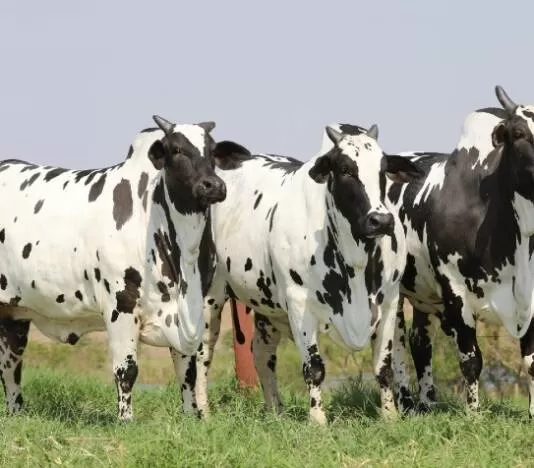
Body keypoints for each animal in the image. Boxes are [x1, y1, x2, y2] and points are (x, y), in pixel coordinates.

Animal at [0, 114, 241, 420]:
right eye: (176, 149)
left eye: (212, 151)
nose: (213, 185)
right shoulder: (121, 306)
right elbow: (127, 371)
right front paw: (125, 419)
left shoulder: (190, 314)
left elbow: (187, 371)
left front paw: (190, 417)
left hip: (14, 313)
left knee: (11, 365)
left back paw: (16, 412)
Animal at [186, 122, 426, 422]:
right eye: (345, 169)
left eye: (383, 170)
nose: (380, 220)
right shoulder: (300, 305)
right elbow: (314, 368)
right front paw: (318, 420)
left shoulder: (390, 302)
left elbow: (384, 367)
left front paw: (390, 416)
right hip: (211, 296)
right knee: (202, 353)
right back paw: (203, 411)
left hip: (267, 305)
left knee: (262, 355)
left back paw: (276, 412)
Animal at [390, 86, 534, 414]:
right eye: (519, 132)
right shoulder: (455, 293)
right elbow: (471, 361)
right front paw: (473, 415)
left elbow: (531, 360)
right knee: (397, 346)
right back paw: (403, 405)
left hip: (422, 294)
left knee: (420, 342)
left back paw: (427, 403)